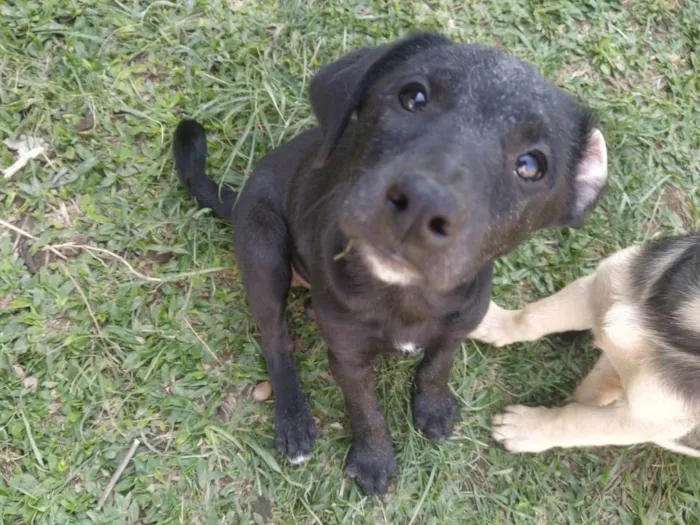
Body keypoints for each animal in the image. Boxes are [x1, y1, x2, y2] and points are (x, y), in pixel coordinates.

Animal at [171, 31, 608, 492]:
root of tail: (239, 198)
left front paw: (432, 406)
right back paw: (293, 419)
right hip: (264, 250)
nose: (423, 203)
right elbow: (365, 410)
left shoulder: (460, 325)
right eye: (413, 97)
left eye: (530, 165)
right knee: (276, 340)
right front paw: (374, 460)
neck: (406, 296)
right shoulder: (348, 356)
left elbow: (438, 364)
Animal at [468, 233, 700, 454]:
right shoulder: (597, 289)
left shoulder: (645, 419)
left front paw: (524, 428)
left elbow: (574, 421)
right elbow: (531, 318)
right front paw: (492, 322)